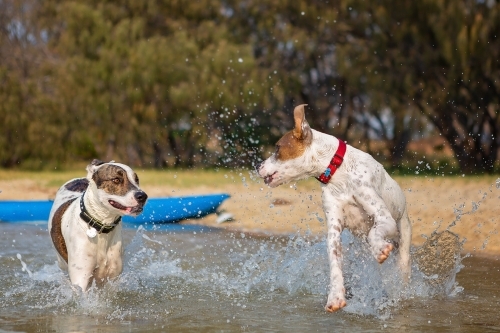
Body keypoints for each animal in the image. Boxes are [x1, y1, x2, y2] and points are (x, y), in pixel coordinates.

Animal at [47, 159, 147, 290]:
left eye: (137, 180)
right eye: (116, 180)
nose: (143, 196)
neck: (102, 226)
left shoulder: (113, 277)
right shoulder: (80, 277)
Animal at [258, 104, 410, 312]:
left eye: (277, 148)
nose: (258, 166)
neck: (339, 172)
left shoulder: (383, 216)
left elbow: (375, 232)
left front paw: (380, 249)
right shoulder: (334, 230)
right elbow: (335, 265)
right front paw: (336, 296)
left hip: (403, 240)